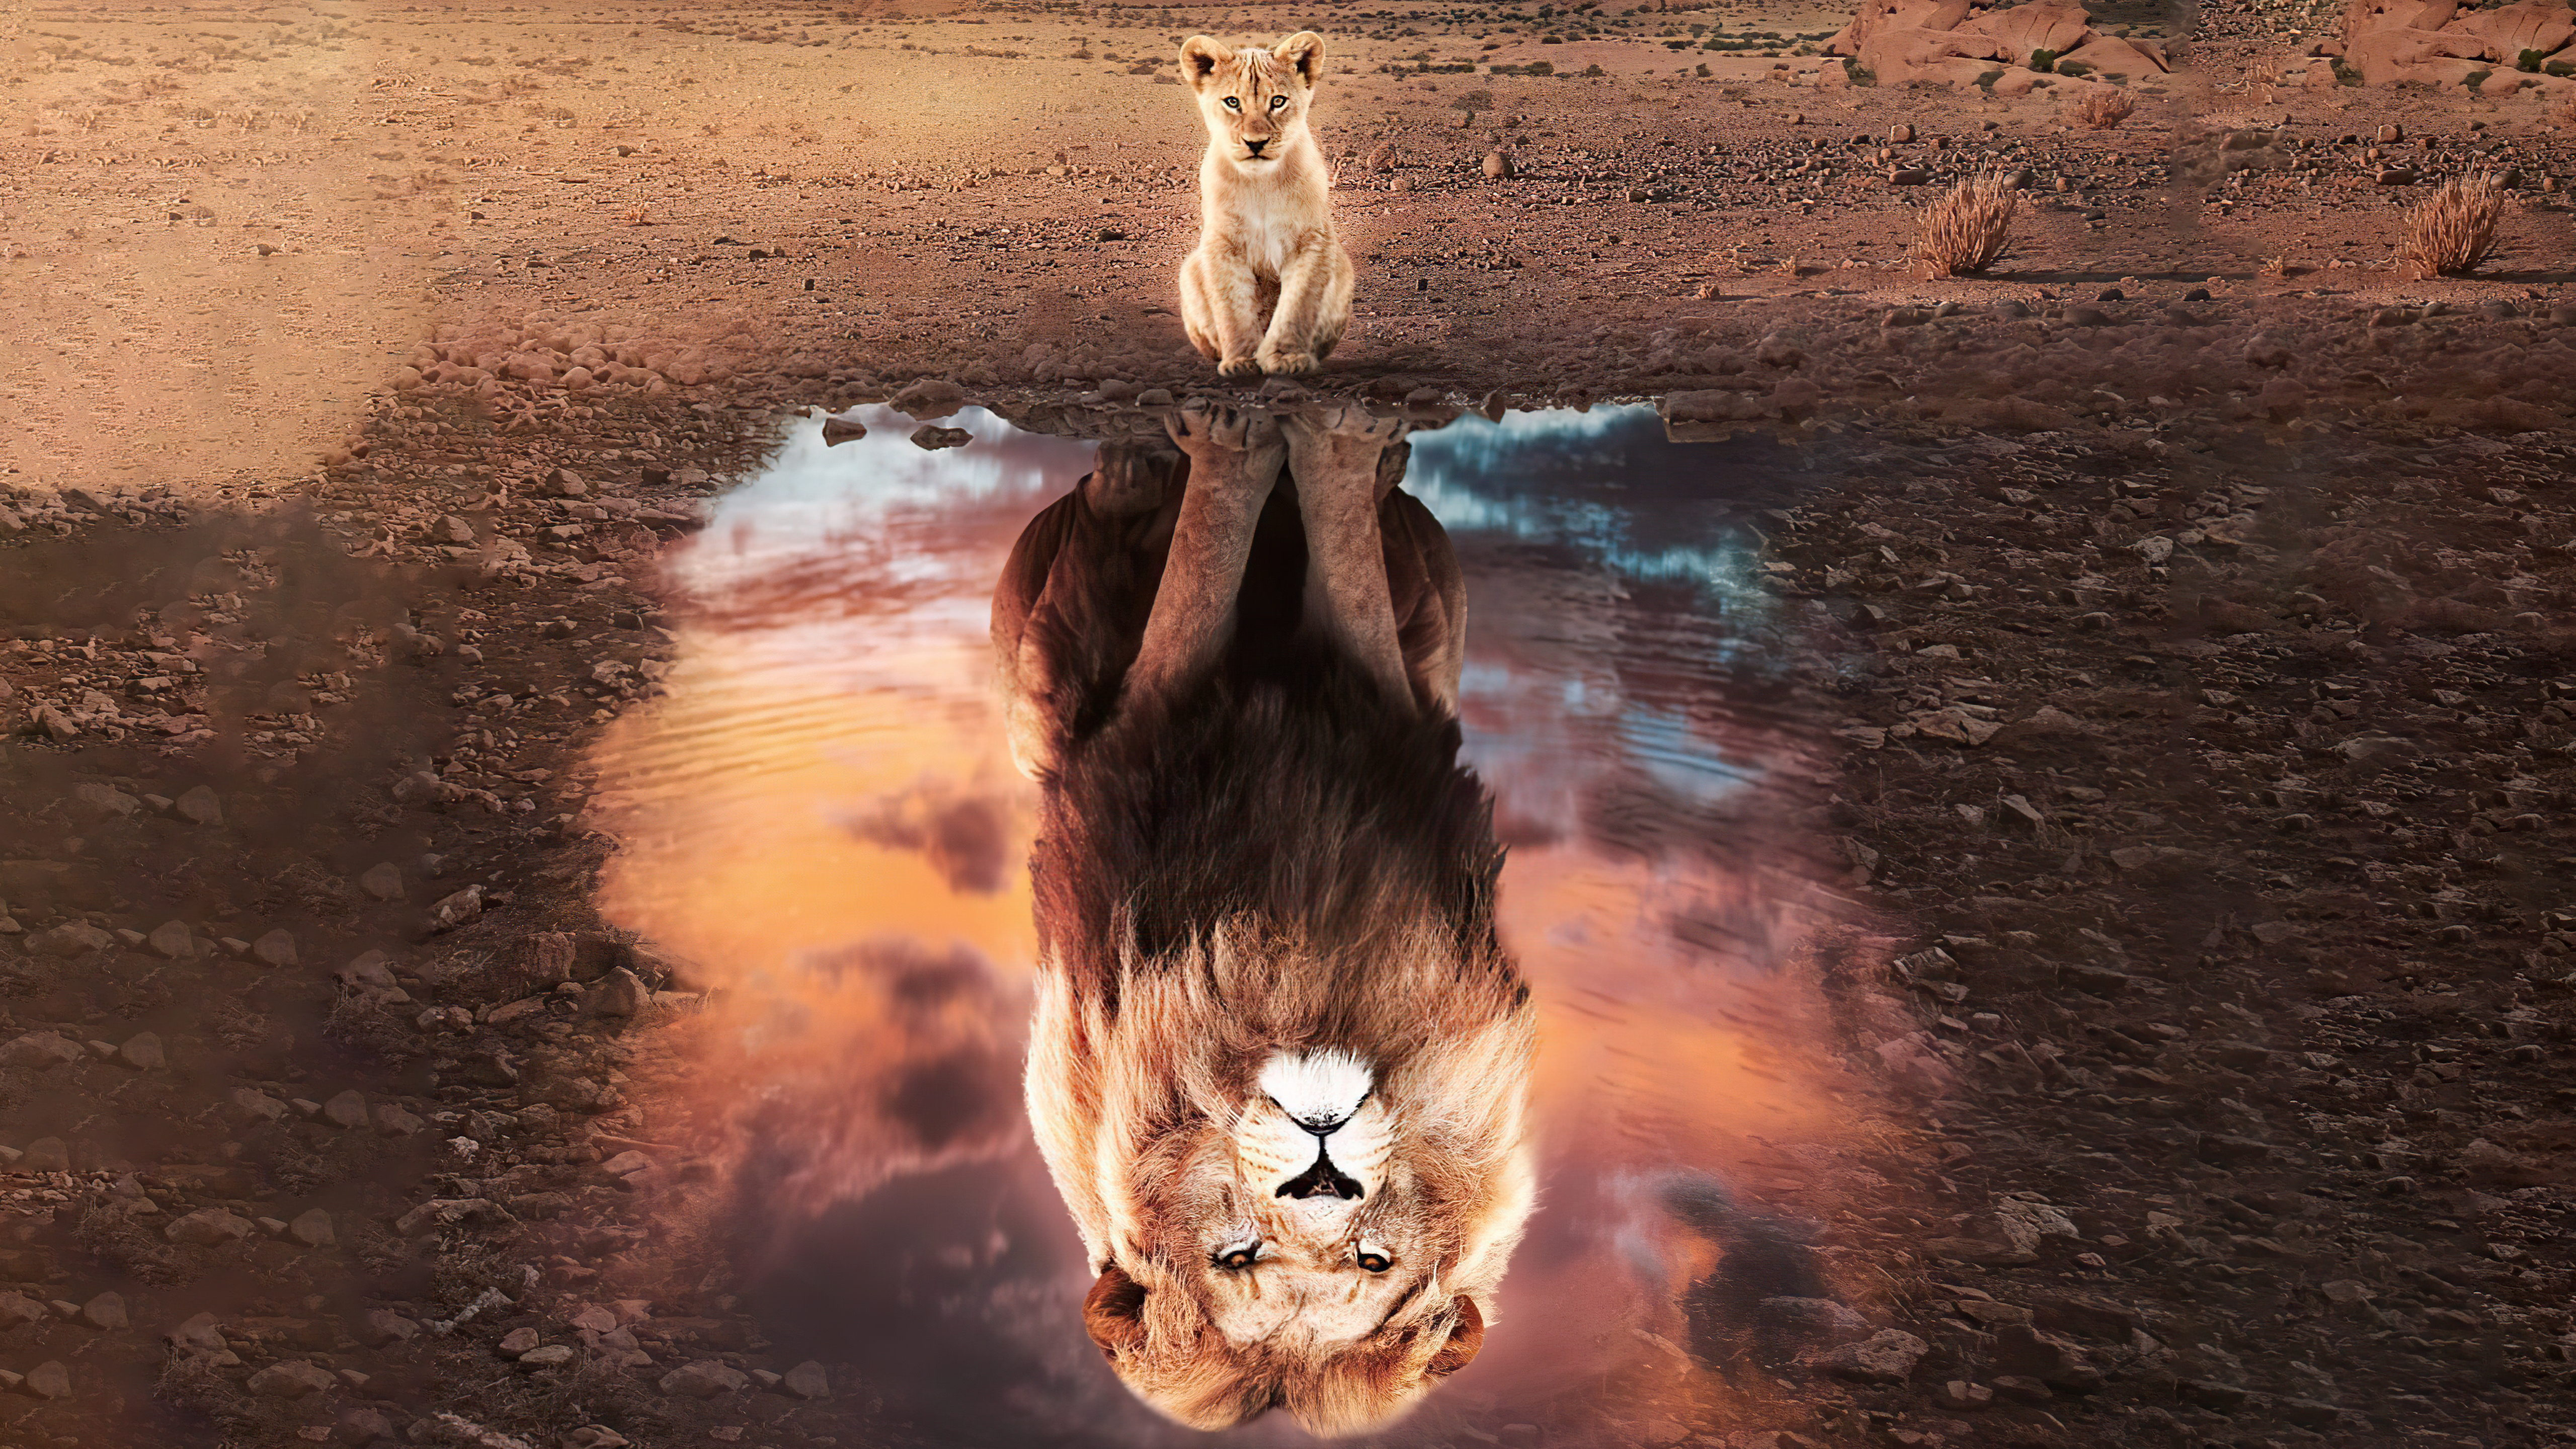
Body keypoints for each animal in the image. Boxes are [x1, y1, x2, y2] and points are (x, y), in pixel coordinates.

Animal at [991, 402, 1535, 1436]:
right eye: (1236, 1257)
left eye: (1371, 1259)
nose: (1323, 1169)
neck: (1291, 978)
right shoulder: (1147, 714)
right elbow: (1208, 559)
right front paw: (1244, 441)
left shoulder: (1394, 704)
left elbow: (1337, 566)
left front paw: (1329, 444)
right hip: (1027, 678)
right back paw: (1131, 474)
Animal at [1175, 32, 1357, 378]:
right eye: (1233, 102)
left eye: (1278, 102)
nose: (1255, 143)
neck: (1261, 185)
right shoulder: (1222, 244)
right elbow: (1232, 308)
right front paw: (1241, 361)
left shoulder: (1312, 241)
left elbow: (1297, 306)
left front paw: (1286, 358)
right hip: (1190, 270)